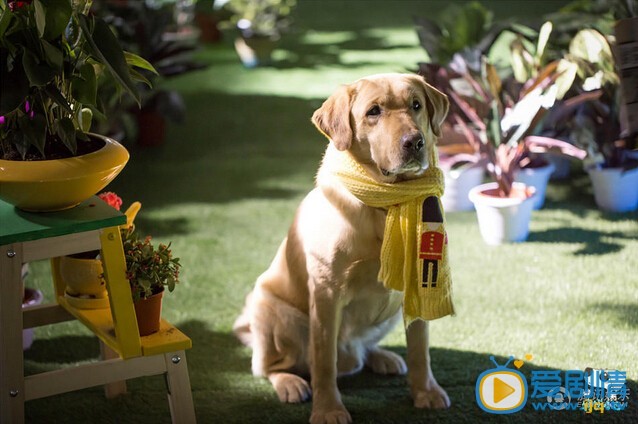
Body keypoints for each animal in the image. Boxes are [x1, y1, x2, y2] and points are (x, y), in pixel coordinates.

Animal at [234, 73, 450, 424]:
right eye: (373, 112)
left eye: (416, 105)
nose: (414, 142)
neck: (384, 206)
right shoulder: (326, 292)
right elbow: (323, 363)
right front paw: (328, 409)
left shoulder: (417, 281)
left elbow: (420, 349)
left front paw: (425, 392)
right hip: (273, 311)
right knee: (267, 367)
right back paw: (289, 382)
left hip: (391, 310)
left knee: (364, 348)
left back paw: (381, 356)